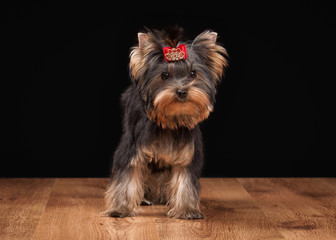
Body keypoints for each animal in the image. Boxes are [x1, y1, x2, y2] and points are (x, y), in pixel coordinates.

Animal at [103, 26, 227, 219]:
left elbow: (185, 178)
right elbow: (127, 175)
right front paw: (120, 208)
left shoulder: (188, 151)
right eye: (165, 75)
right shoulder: (133, 147)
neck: (170, 120)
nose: (182, 91)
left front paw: (187, 209)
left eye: (193, 73)